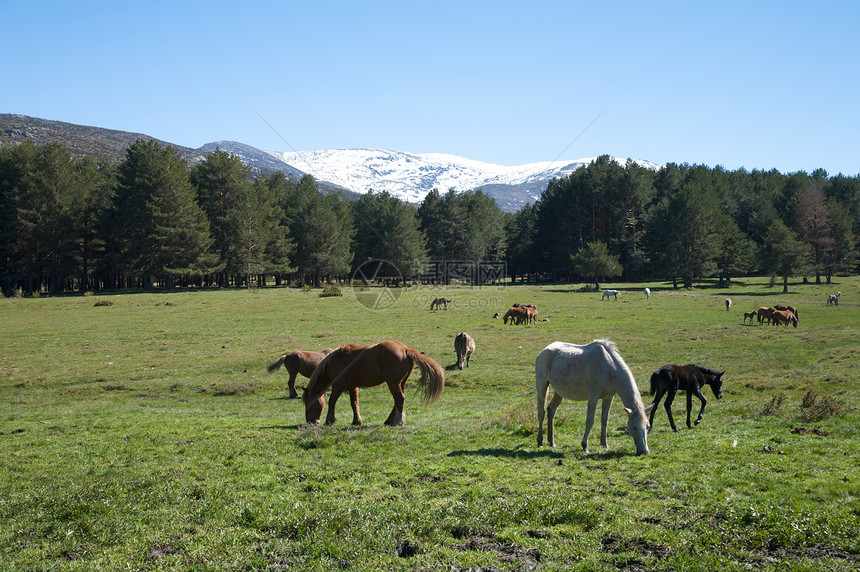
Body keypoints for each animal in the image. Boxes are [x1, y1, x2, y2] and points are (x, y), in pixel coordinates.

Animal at [302, 340, 444, 424]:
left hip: (393, 383)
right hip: (401, 383)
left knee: (399, 398)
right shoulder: (353, 387)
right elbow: (354, 403)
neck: (334, 361)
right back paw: (389, 420)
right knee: (398, 400)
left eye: (308, 402)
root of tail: (406, 350)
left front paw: (329, 420)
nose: (310, 421)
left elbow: (332, 401)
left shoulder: (338, 385)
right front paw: (356, 421)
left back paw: (397, 421)